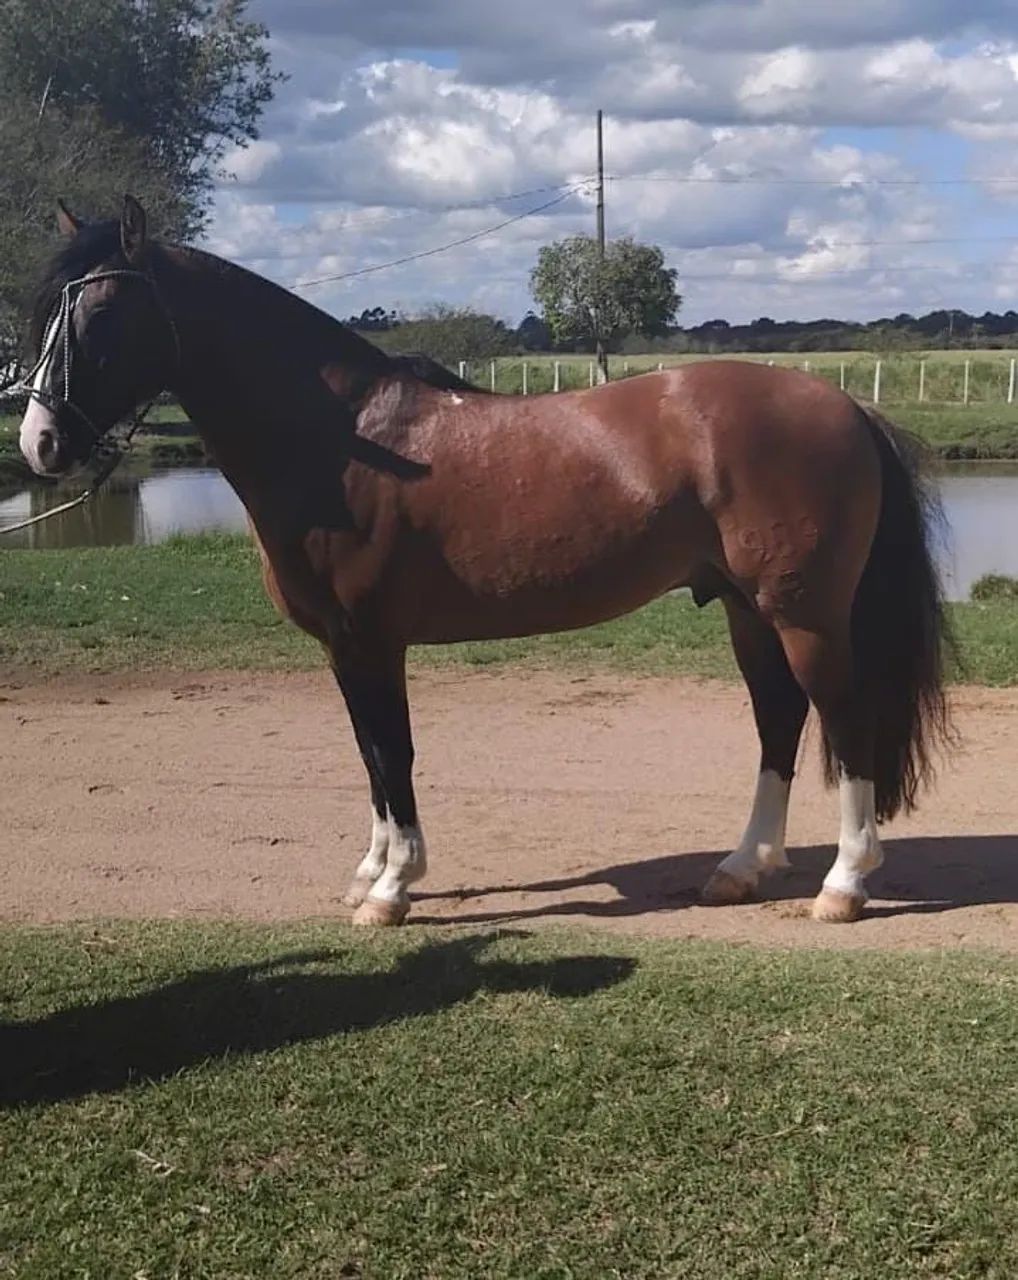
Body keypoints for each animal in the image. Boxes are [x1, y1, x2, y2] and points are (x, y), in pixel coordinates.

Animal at [18, 196, 953, 927]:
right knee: (779, 720)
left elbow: (393, 752)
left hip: (803, 615)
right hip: (746, 610)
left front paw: (393, 888)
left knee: (844, 718)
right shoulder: (342, 649)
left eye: (100, 316)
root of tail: (843, 406)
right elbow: (369, 755)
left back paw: (842, 885)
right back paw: (744, 867)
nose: (40, 443)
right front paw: (373, 870)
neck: (343, 440)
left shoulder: (370, 641)